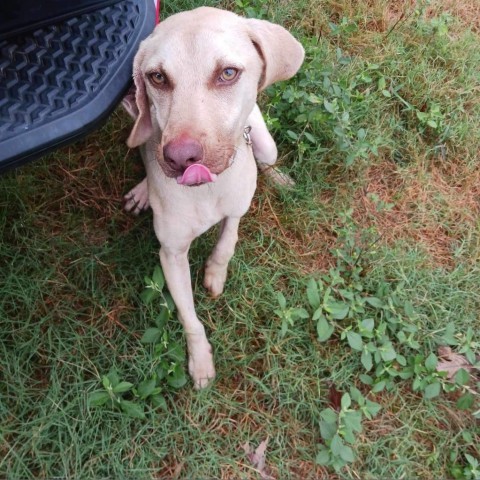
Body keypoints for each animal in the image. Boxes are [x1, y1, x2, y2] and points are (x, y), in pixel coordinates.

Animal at [123, 7, 304, 388]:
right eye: (157, 77)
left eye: (228, 73)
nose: (180, 158)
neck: (206, 192)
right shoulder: (171, 254)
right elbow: (188, 317)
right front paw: (201, 360)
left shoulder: (238, 206)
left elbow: (228, 240)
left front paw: (216, 274)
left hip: (265, 142)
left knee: (268, 160)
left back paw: (281, 179)